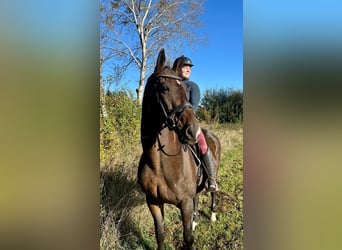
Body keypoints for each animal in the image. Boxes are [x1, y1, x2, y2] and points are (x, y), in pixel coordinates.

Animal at [138, 49, 220, 250]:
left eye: (184, 90)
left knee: (213, 192)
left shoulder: (185, 203)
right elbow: (160, 234)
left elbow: (188, 237)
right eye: (164, 88)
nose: (193, 131)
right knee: (197, 197)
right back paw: (197, 220)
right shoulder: (153, 202)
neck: (160, 164)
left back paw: (213, 215)